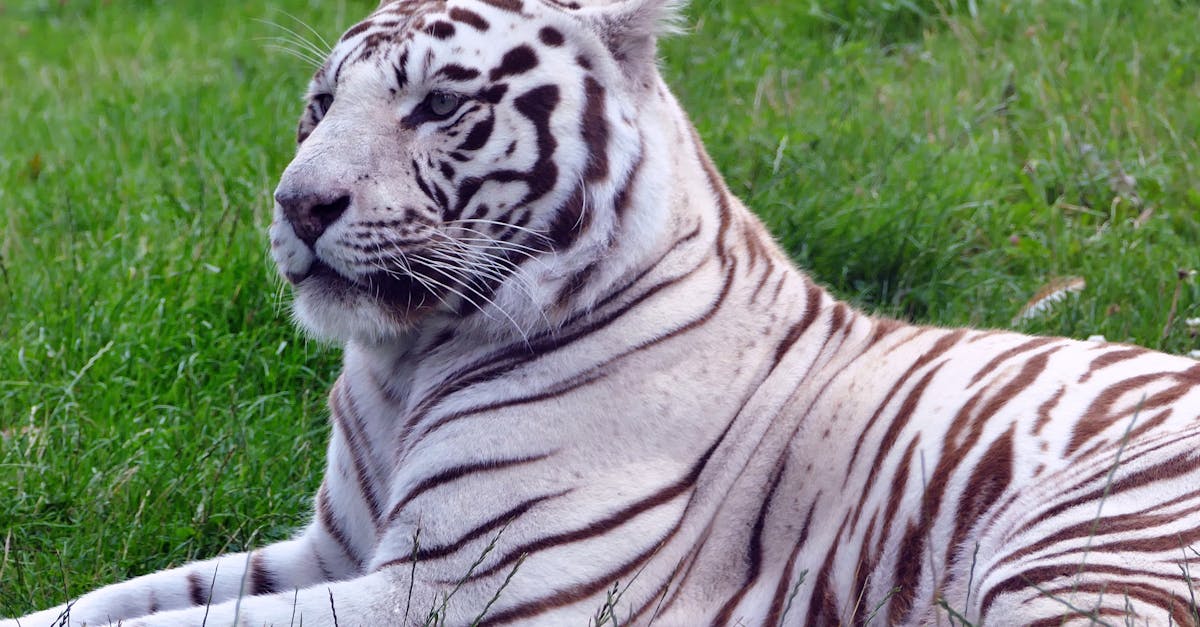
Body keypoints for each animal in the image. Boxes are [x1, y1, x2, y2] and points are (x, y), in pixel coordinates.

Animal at [7, 1, 1200, 624]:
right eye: (320, 104)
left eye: (439, 102)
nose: (298, 204)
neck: (404, 363)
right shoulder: (329, 549)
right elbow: (119, 601)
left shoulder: (447, 586)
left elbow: (186, 624)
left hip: (1076, 548)